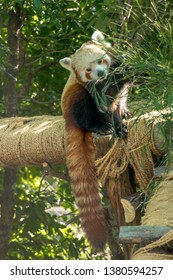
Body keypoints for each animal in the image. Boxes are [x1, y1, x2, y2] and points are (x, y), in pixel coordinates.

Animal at [59, 30, 130, 247]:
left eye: (101, 60)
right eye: (88, 70)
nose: (99, 73)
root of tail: (67, 119)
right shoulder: (92, 87)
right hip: (75, 101)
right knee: (84, 112)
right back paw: (101, 125)